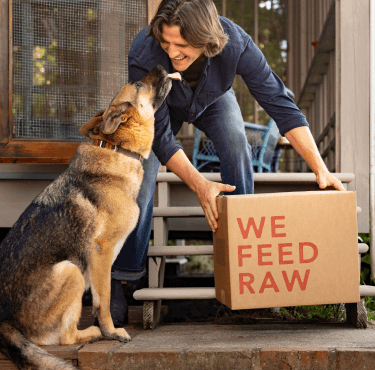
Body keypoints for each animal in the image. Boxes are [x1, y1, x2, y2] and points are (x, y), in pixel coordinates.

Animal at [0, 65, 181, 368]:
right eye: (137, 83)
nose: (160, 65)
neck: (117, 149)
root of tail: (4, 323)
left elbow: (101, 296)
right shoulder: (102, 251)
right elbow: (104, 298)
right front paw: (111, 331)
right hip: (70, 270)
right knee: (62, 338)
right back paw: (93, 332)